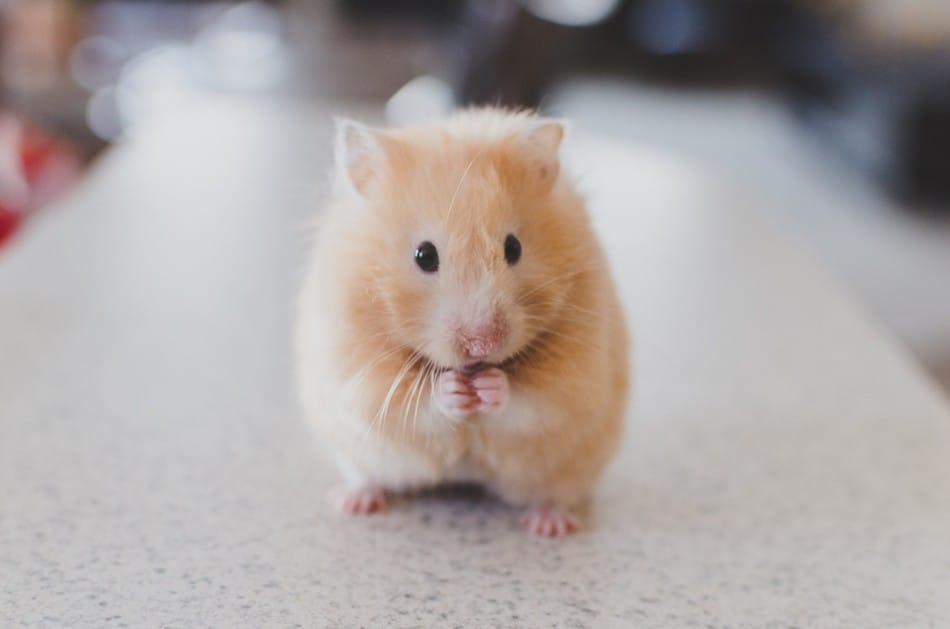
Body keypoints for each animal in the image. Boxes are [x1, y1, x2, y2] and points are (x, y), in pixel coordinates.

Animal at [294, 106, 628, 536]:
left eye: (513, 248)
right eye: (424, 255)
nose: (482, 344)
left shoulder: (576, 376)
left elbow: (532, 400)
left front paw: (489, 386)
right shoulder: (358, 371)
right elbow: (413, 403)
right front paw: (454, 390)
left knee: (555, 493)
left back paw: (549, 525)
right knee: (366, 476)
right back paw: (353, 502)